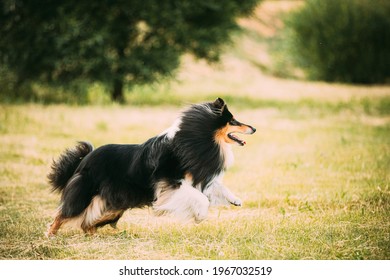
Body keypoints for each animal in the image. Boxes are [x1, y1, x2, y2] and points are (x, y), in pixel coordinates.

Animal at [45, 97, 256, 235]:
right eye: (233, 121)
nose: (254, 128)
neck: (192, 139)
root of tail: (84, 160)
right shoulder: (170, 183)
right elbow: (201, 199)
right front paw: (200, 216)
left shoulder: (192, 180)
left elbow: (216, 187)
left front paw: (235, 200)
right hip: (87, 194)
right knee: (64, 215)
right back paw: (50, 236)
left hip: (115, 203)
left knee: (87, 222)